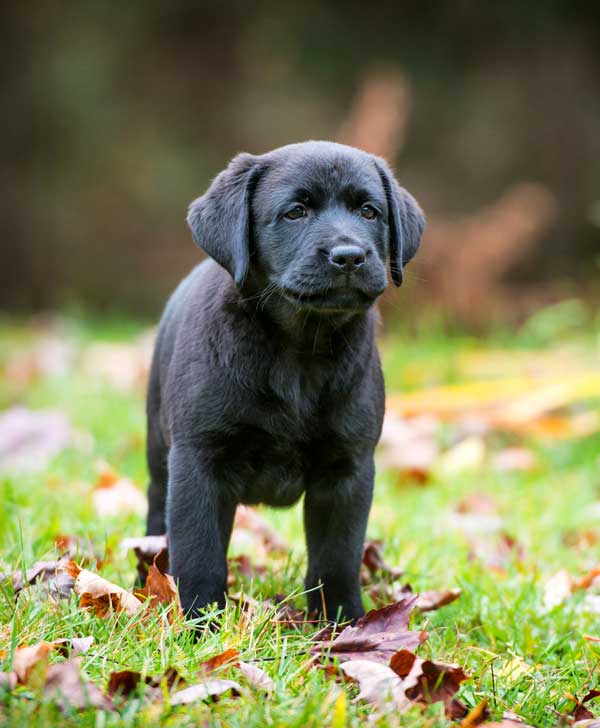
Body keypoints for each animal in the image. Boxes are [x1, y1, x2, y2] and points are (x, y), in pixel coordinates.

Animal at [145, 141, 424, 620]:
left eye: (369, 212)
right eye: (295, 212)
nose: (349, 256)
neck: (300, 349)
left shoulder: (348, 469)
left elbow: (337, 557)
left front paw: (343, 623)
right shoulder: (199, 460)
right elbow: (199, 554)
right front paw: (199, 624)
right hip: (158, 456)